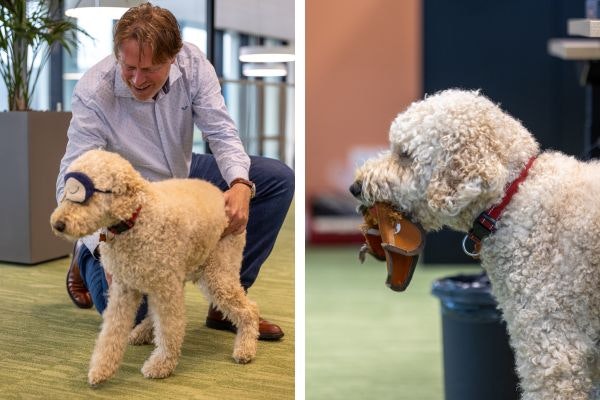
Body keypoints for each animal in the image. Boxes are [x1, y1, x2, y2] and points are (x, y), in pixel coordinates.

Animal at [49, 149, 260, 384]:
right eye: (67, 192)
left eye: (84, 195)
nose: (58, 224)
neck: (137, 217)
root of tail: (220, 194)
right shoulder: (124, 289)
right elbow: (112, 330)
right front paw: (101, 368)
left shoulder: (166, 288)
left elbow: (169, 328)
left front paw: (161, 364)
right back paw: (141, 332)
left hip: (217, 271)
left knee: (249, 309)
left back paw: (246, 347)